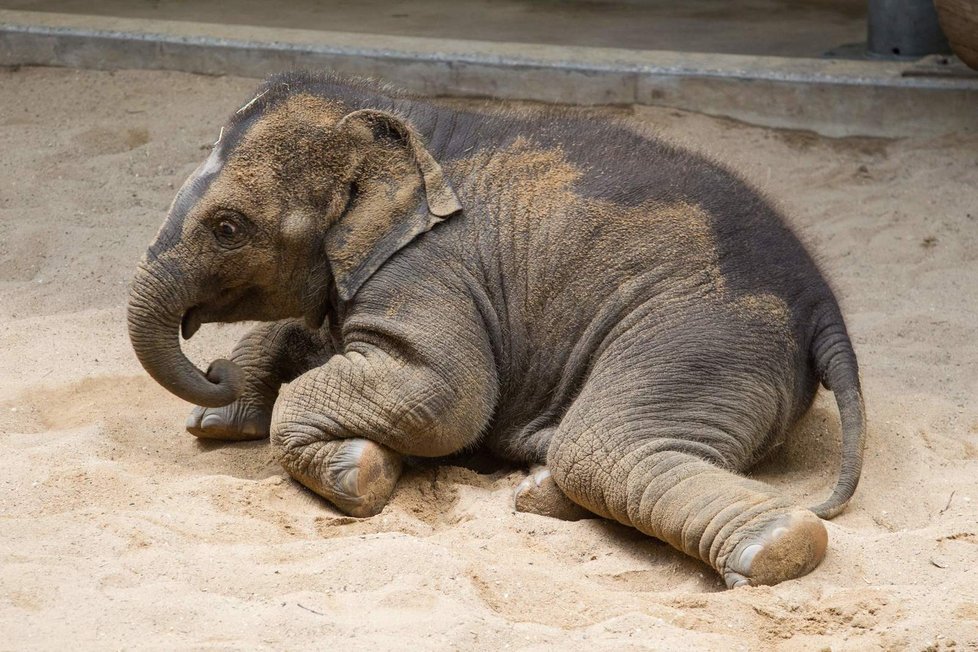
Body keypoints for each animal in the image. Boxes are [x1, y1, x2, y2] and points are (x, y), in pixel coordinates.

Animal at [127, 69, 860, 588]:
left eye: (227, 228)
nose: (212, 371)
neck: (400, 115)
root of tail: (824, 306)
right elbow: (314, 341)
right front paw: (222, 422)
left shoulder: (434, 270)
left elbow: (446, 394)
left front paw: (360, 469)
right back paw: (538, 488)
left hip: (699, 336)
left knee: (604, 449)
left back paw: (778, 549)